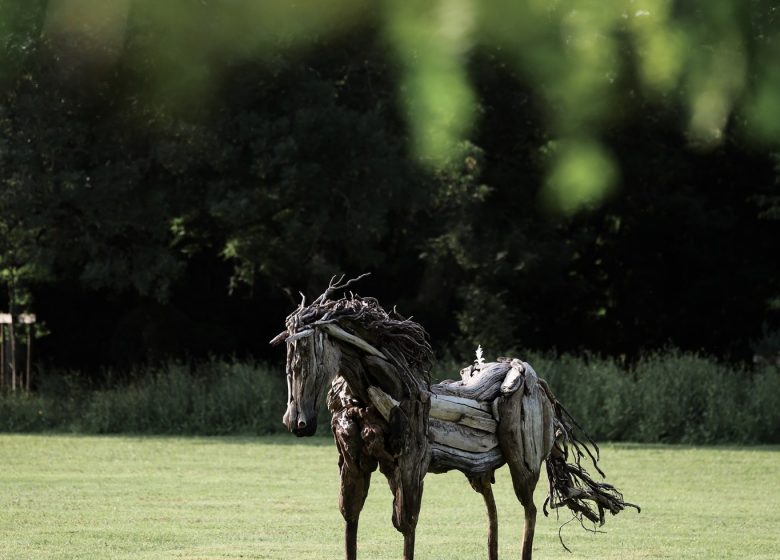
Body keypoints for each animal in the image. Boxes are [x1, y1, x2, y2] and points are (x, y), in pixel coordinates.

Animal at [272, 280, 636, 560]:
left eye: (306, 355)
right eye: (289, 358)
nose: (297, 423)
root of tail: (538, 385)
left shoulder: (410, 467)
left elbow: (406, 525)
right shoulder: (355, 465)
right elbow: (351, 519)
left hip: (525, 465)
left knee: (529, 512)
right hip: (481, 471)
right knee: (494, 513)